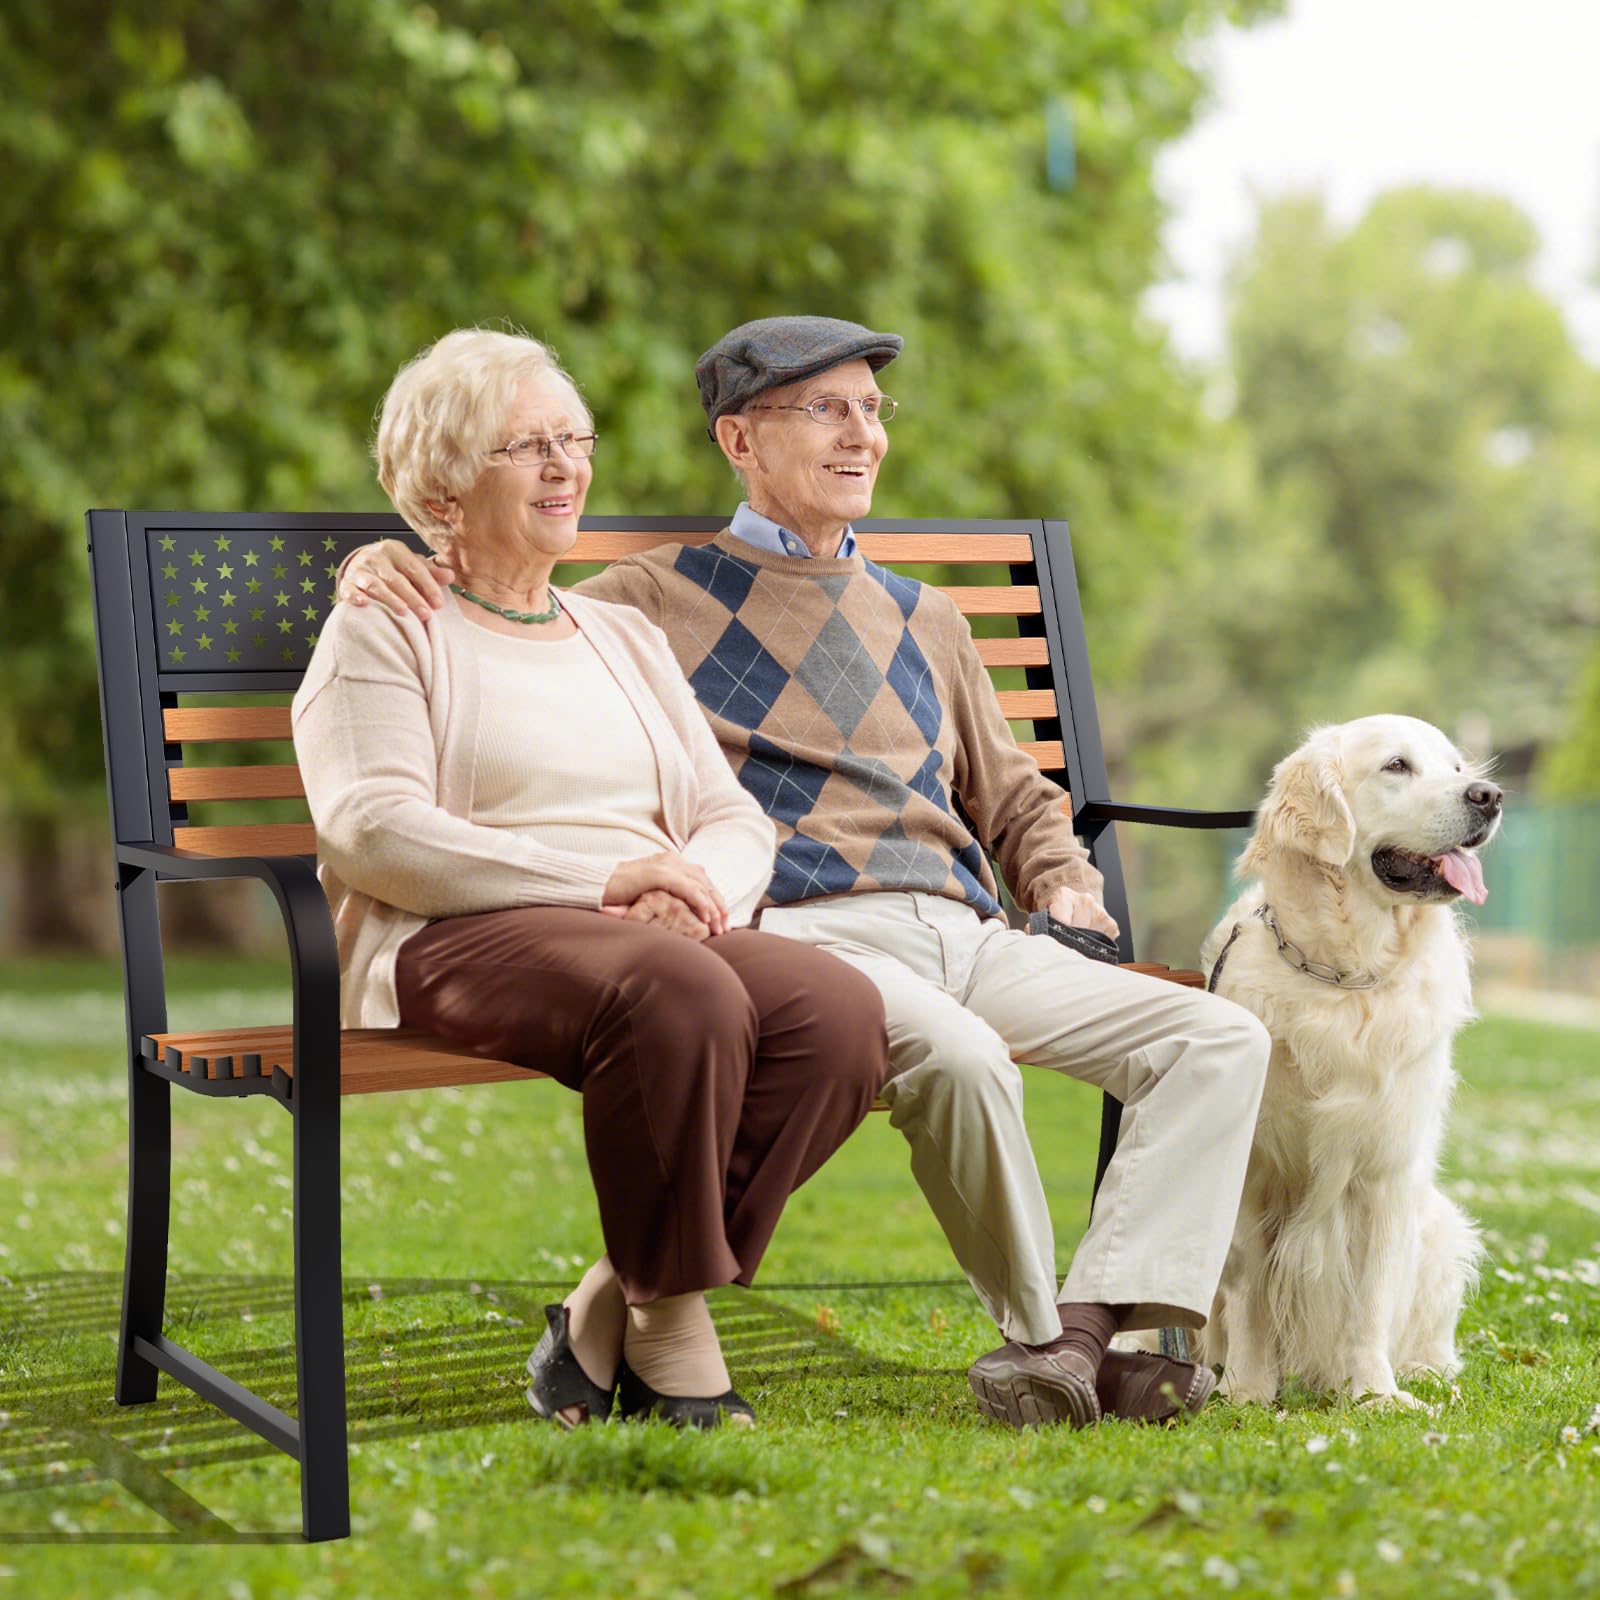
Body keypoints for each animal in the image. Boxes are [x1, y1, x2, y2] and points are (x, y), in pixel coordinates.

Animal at [1203, 720, 1497, 1408]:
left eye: (1456, 766)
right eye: (1397, 766)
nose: (1489, 796)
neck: (1343, 977)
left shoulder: (1385, 1172)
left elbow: (1370, 1301)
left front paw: (1374, 1394)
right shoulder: (1254, 1170)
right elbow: (1249, 1292)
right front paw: (1248, 1389)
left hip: (1439, 1226)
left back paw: (1422, 1372)